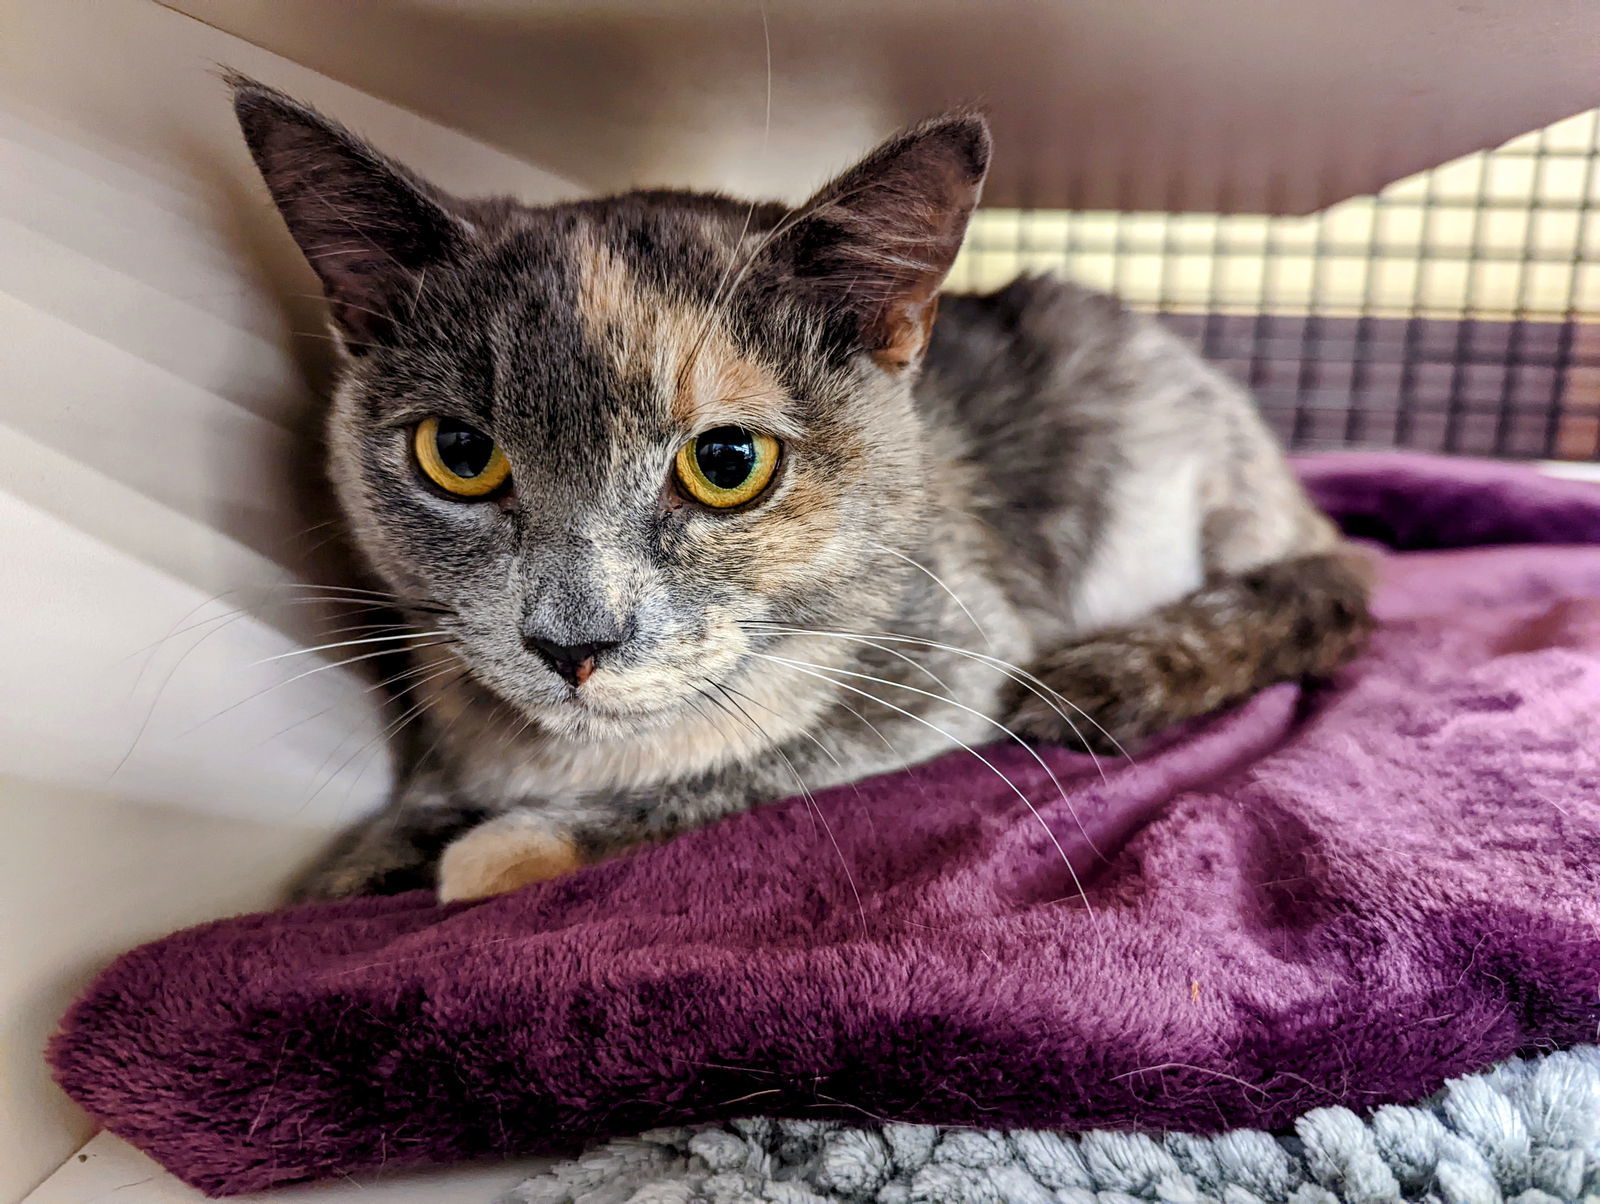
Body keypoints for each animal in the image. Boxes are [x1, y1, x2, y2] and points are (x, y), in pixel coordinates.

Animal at [228, 77, 1376, 903]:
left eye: (728, 463)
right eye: (459, 452)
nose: (569, 642)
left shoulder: (948, 664)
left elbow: (740, 767)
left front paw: (495, 848)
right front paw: (368, 855)